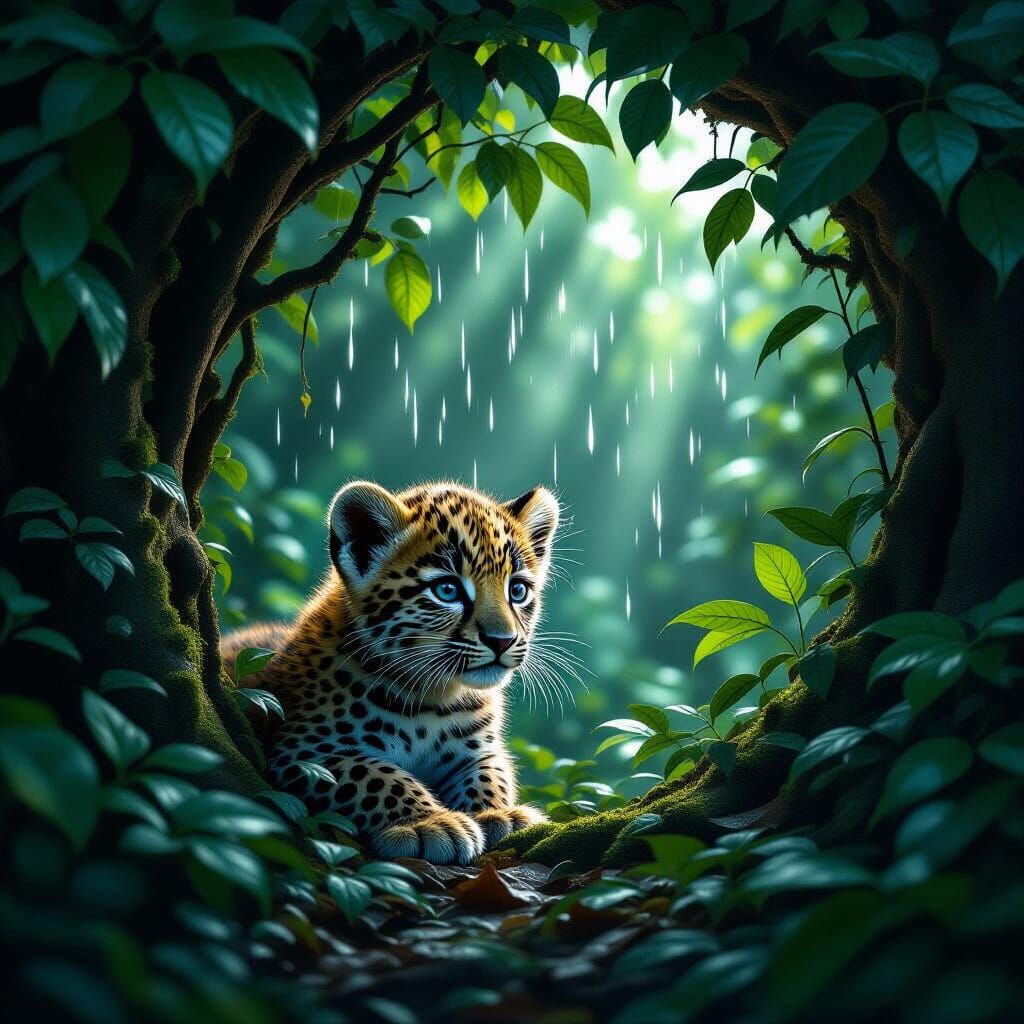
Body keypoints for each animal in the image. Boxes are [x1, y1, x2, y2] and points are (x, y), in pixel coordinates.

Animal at [221, 480, 566, 865]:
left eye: (517, 590)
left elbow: (491, 775)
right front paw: (429, 824)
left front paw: (498, 814)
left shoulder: (481, 749)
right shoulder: (303, 750)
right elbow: (378, 776)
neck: (435, 696)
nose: (503, 640)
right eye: (447, 590)